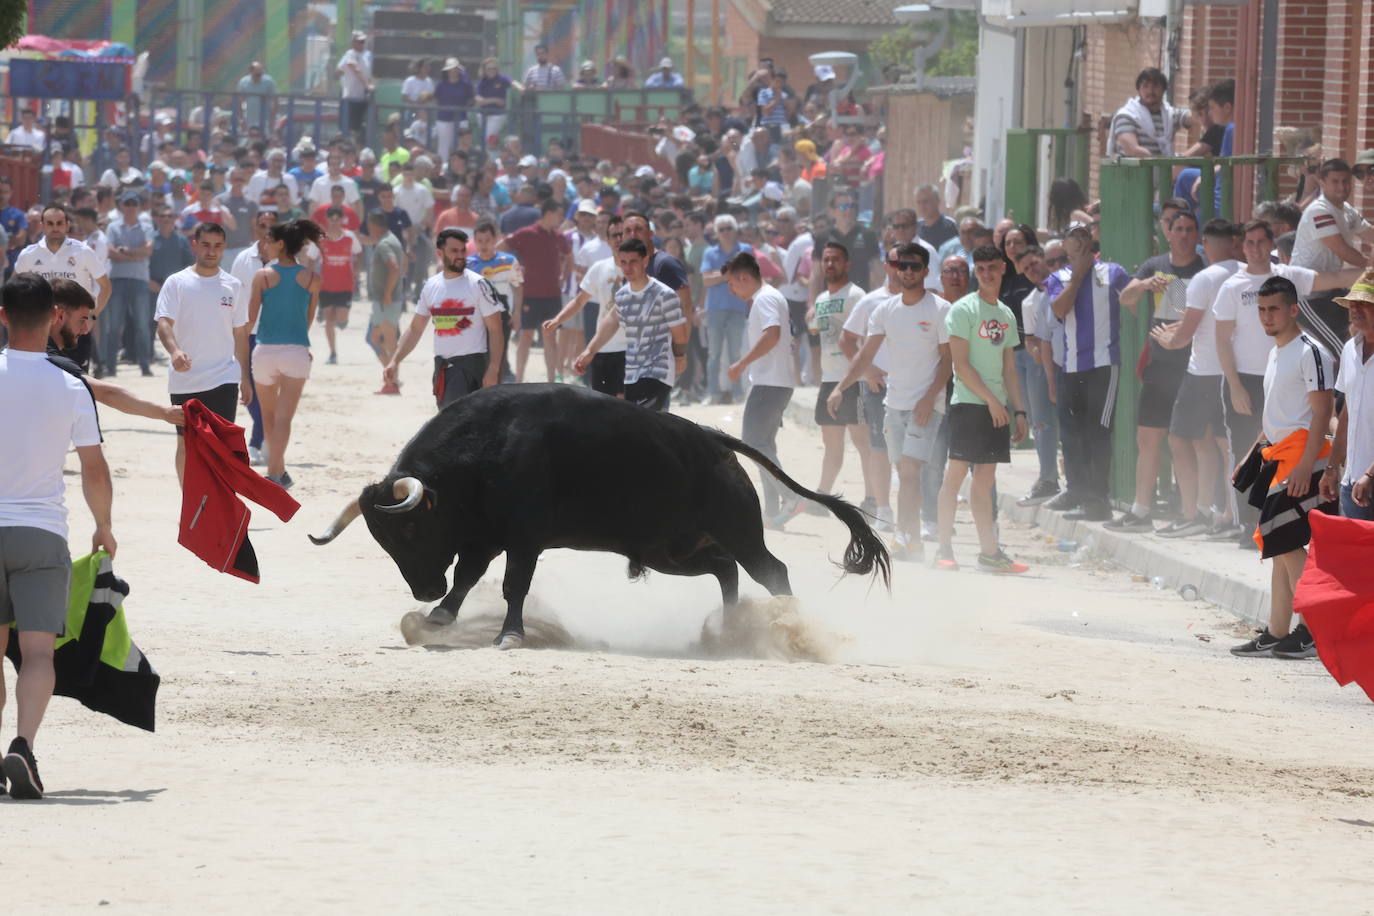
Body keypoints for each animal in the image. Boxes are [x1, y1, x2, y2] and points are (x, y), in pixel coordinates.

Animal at [309, 384, 890, 648]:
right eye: (383, 540)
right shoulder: (484, 537)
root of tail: (715, 442)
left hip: (737, 530)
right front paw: (437, 616)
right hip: (672, 549)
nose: (422, 589)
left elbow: (513, 585)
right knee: (726, 571)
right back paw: (726, 631)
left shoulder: (524, 538)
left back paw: (789, 629)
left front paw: (509, 635)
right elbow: (468, 578)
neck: (484, 450)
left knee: (771, 571)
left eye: (410, 527)